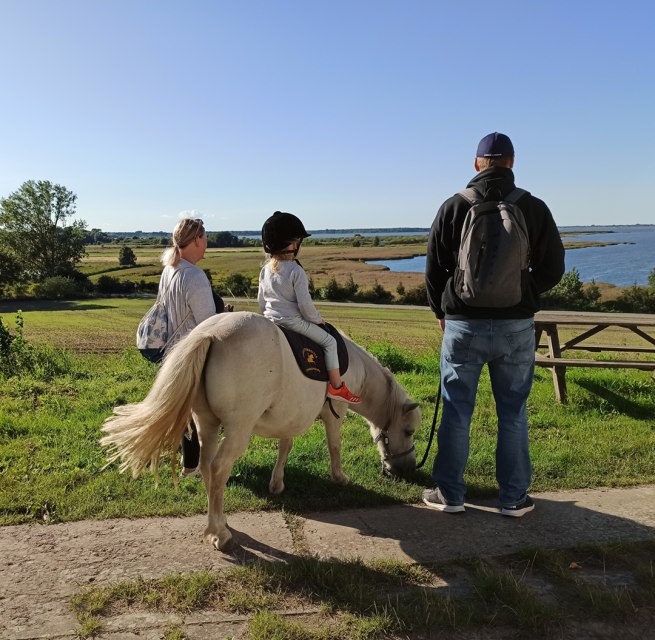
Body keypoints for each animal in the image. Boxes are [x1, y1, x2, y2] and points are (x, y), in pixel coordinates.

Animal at [101, 311, 420, 551]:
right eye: (409, 431)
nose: (406, 470)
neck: (353, 366)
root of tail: (209, 334)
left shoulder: (289, 416)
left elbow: (285, 445)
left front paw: (277, 483)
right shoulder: (336, 411)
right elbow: (334, 445)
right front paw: (340, 478)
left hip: (207, 422)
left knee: (206, 465)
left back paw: (219, 522)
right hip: (238, 429)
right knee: (219, 467)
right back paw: (220, 534)